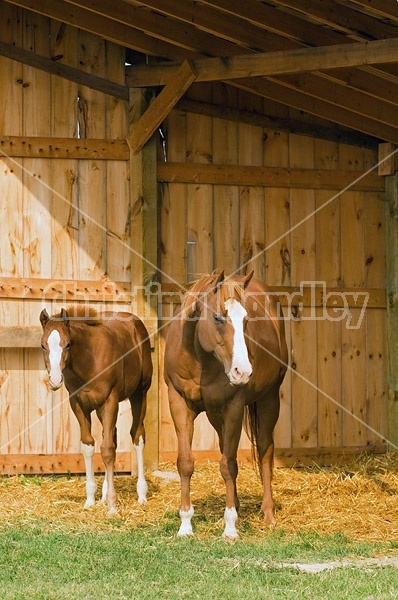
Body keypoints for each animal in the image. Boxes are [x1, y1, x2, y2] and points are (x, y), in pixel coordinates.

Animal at [40, 308, 152, 512]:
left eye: (68, 344)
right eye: (43, 345)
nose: (55, 380)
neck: (88, 363)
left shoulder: (110, 400)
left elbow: (107, 450)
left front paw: (112, 505)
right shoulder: (77, 403)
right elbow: (89, 446)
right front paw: (91, 499)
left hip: (139, 393)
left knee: (137, 436)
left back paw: (141, 494)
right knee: (112, 435)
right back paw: (104, 494)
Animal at [163, 272, 288, 540]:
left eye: (246, 320)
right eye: (219, 317)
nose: (243, 371)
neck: (200, 359)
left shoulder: (233, 406)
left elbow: (229, 465)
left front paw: (230, 527)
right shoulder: (179, 404)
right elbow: (186, 463)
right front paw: (185, 525)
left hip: (269, 399)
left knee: (265, 451)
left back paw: (268, 513)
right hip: (214, 414)